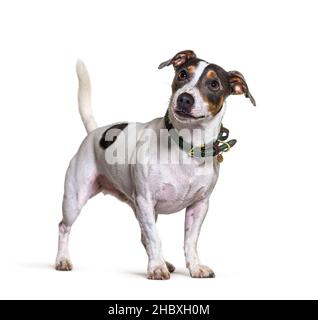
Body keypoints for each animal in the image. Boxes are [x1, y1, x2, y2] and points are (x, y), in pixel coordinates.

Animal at [55, 50, 256, 280]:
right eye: (183, 74)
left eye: (214, 84)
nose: (184, 98)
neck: (186, 146)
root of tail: (94, 133)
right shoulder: (146, 201)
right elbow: (154, 238)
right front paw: (157, 267)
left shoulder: (199, 206)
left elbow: (190, 240)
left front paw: (194, 266)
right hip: (75, 199)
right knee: (63, 227)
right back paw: (62, 260)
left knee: (143, 236)